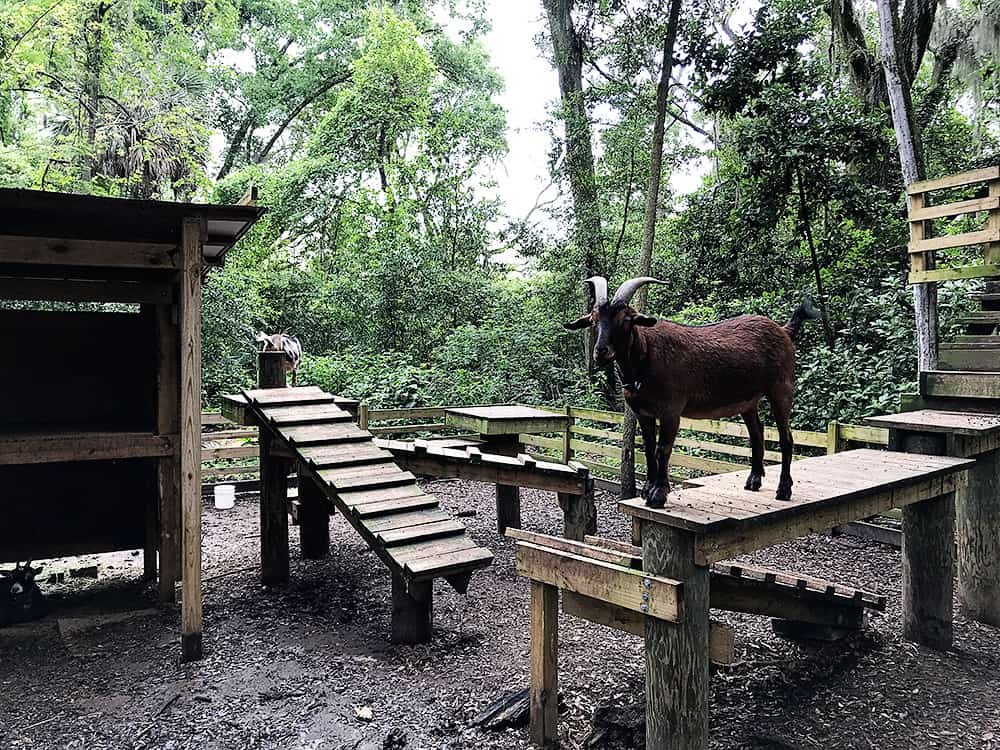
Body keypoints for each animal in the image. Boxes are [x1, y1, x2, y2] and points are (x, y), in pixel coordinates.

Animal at [568, 280, 816, 508]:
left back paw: (784, 490)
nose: (601, 351)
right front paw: (647, 489)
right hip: (748, 400)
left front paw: (658, 494)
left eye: (626, 319)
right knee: (757, 433)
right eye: (593, 320)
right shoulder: (642, 413)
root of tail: (783, 331)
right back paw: (753, 481)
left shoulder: (671, 410)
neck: (647, 357)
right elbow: (648, 448)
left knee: (786, 438)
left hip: (781, 389)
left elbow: (663, 449)